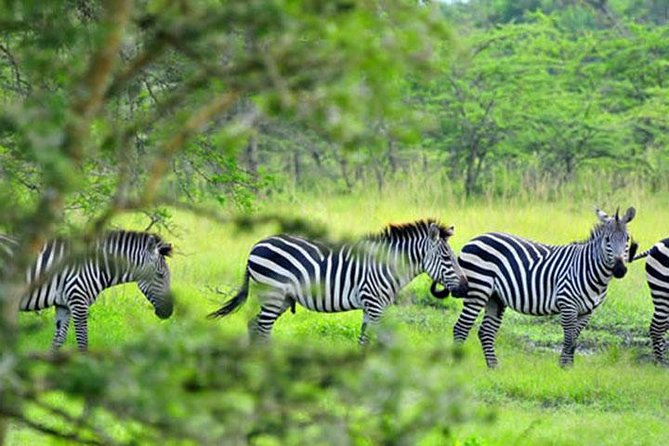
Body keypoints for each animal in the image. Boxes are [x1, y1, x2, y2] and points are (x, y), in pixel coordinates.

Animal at [1, 231, 173, 351]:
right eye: (160, 275)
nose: (169, 312)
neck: (96, 266)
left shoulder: (64, 305)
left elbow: (58, 341)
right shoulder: (78, 301)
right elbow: (83, 342)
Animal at [208, 220, 469, 343]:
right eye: (447, 257)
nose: (466, 287)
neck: (386, 265)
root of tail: (257, 244)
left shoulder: (370, 307)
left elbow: (364, 339)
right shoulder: (374, 304)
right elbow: (378, 340)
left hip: (280, 299)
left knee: (254, 325)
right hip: (273, 295)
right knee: (262, 328)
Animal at [443, 207, 635, 368]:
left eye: (627, 239)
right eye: (607, 240)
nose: (620, 269)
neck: (590, 270)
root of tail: (475, 238)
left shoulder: (587, 312)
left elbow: (574, 341)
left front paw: (568, 369)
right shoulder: (567, 304)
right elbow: (569, 340)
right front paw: (564, 369)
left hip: (495, 297)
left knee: (486, 333)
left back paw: (494, 368)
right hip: (478, 290)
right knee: (461, 328)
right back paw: (457, 367)